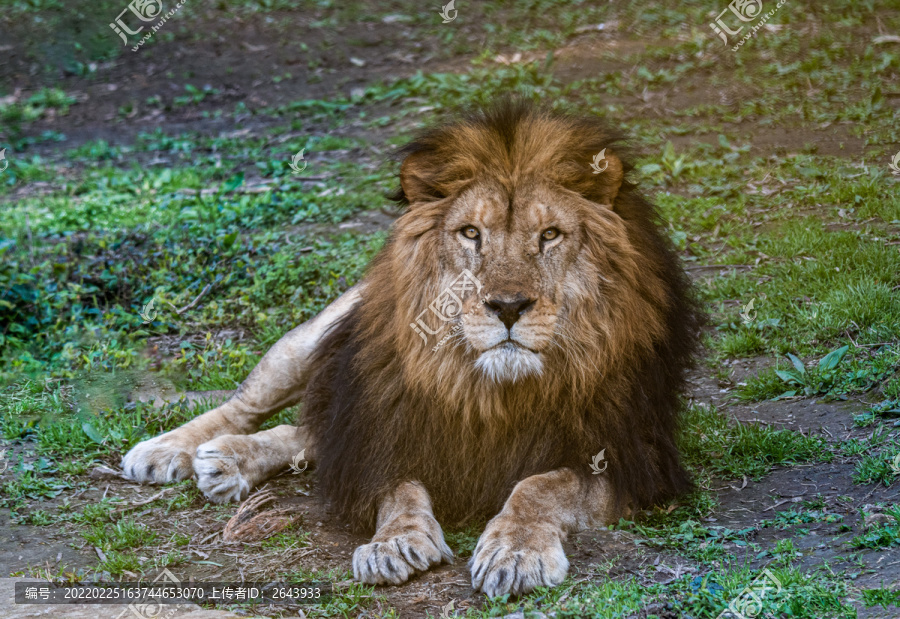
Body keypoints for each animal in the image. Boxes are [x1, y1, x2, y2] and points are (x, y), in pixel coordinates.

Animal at [123, 99, 704, 600]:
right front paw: (394, 543)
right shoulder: (383, 427)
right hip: (324, 337)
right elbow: (396, 488)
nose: (508, 306)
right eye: (470, 233)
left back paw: (227, 461)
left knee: (311, 430)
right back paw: (174, 451)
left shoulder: (629, 457)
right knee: (258, 404)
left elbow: (542, 485)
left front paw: (515, 551)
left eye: (550, 235)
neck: (493, 388)